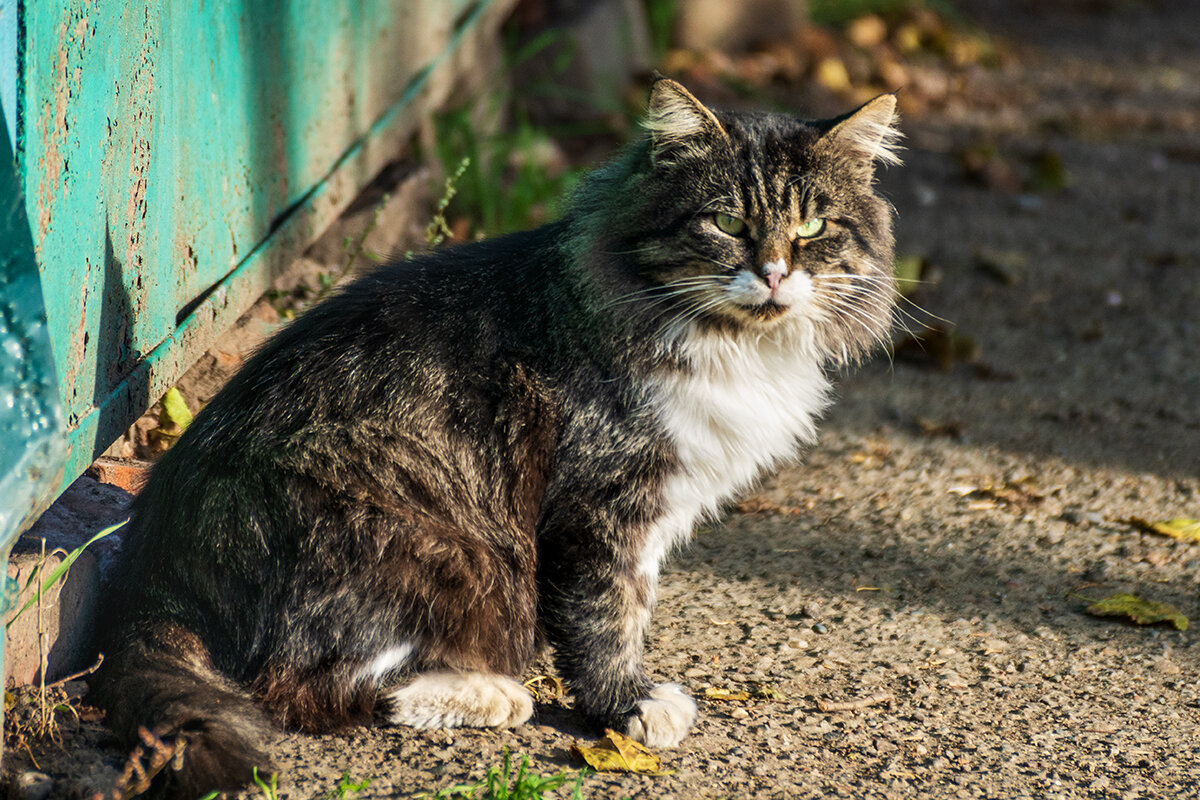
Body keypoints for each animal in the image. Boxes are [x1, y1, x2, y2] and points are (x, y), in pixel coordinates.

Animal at [91, 79, 902, 796]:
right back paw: (491, 694)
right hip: (437, 542)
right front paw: (627, 706)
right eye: (727, 225)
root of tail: (152, 578)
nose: (773, 274)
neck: (732, 342)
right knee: (306, 688)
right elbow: (609, 615)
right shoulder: (603, 506)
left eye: (812, 229)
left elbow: (628, 605)